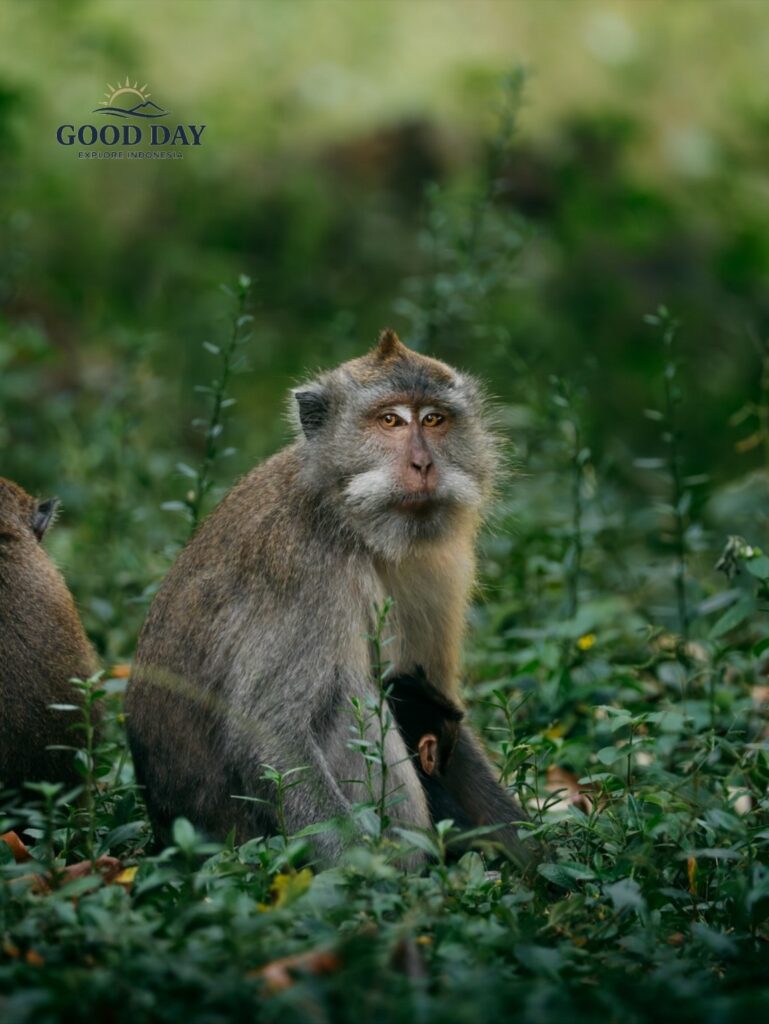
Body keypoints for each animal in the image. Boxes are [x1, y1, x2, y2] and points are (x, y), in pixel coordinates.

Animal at [126, 329, 537, 871]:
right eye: (389, 420)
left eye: (434, 419)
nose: (423, 464)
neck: (350, 520)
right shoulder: (305, 572)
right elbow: (271, 734)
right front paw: (374, 882)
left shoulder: (437, 563)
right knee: (348, 700)